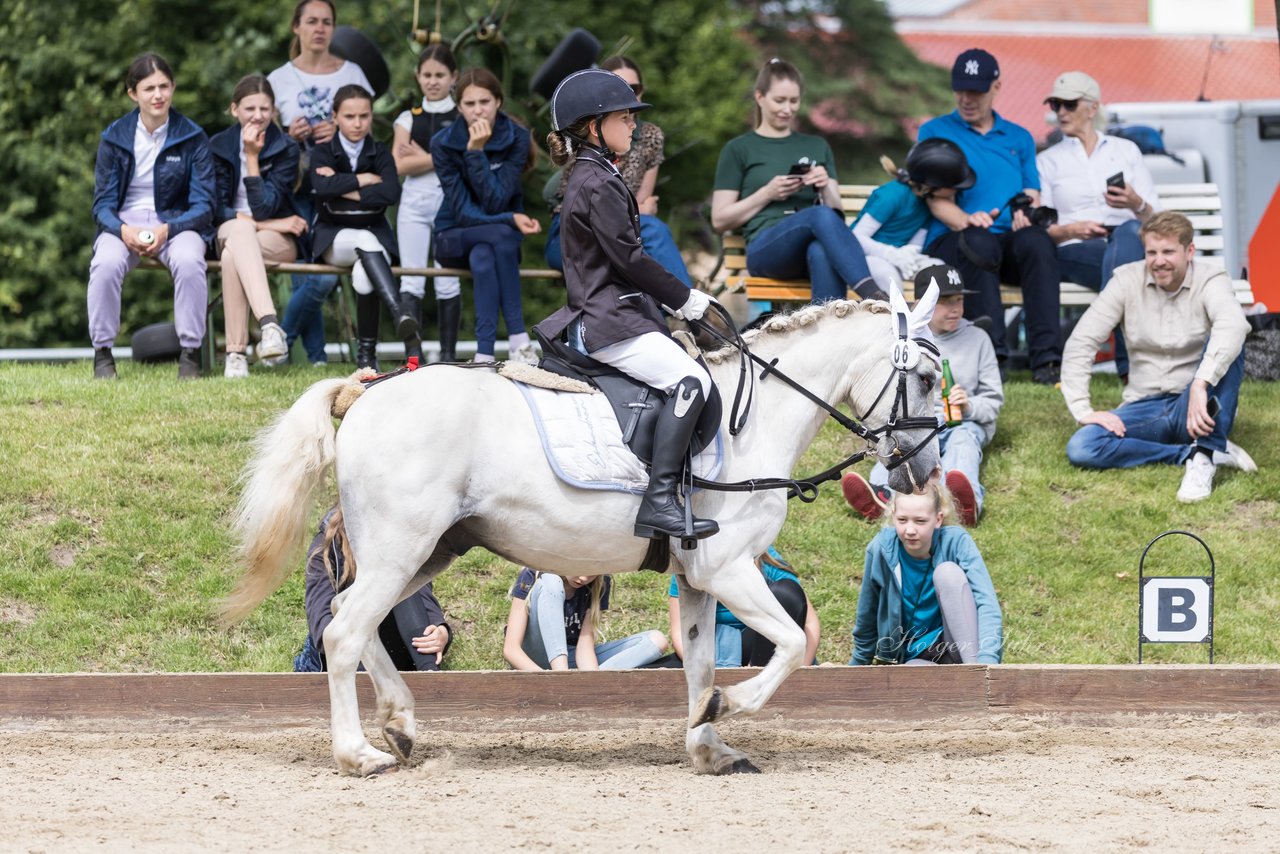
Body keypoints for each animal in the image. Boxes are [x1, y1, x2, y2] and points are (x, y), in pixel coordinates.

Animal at [225, 289, 942, 783]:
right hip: (402, 547)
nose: (925, 471)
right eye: (929, 378)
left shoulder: (698, 580)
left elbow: (699, 661)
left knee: (353, 617)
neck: (755, 420)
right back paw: (359, 754)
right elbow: (789, 646)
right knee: (344, 632)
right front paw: (727, 706)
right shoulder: (730, 569)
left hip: (427, 550)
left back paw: (400, 724)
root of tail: (367, 394)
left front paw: (708, 743)